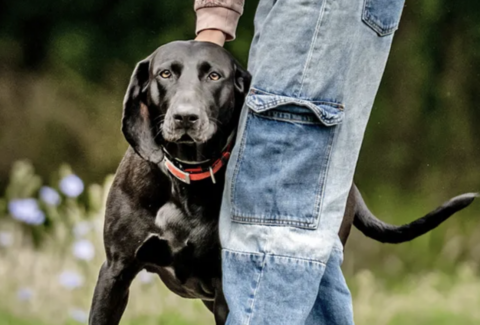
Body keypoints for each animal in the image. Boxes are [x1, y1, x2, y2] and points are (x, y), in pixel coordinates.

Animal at [89, 41, 476, 324]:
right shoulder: (116, 273)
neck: (188, 180)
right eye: (165, 73)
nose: (186, 117)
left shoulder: (227, 290)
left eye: (214, 76)